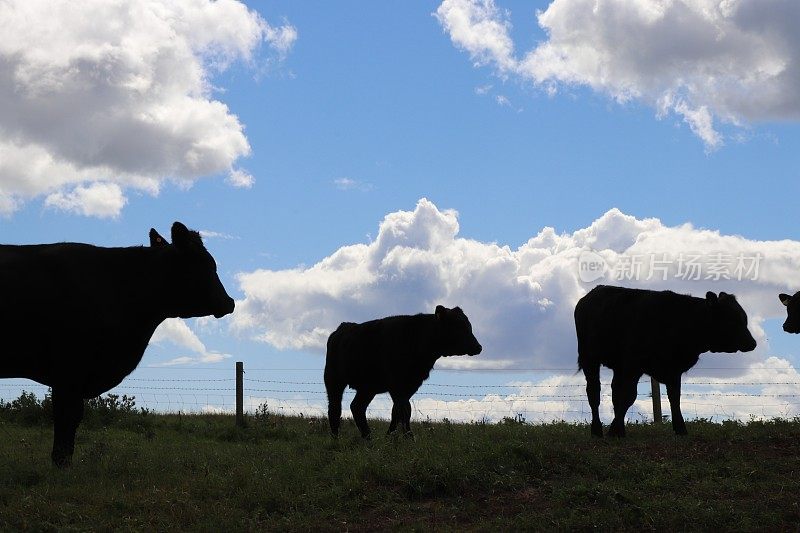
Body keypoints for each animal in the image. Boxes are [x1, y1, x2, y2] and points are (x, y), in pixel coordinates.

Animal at [324, 306, 482, 438]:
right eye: (458, 327)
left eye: (469, 326)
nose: (478, 347)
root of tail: (342, 328)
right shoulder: (397, 385)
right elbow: (403, 411)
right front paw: (406, 438)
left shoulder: (411, 385)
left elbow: (400, 411)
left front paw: (392, 436)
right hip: (333, 380)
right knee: (334, 408)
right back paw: (336, 439)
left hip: (367, 387)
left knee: (357, 407)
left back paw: (368, 437)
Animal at [576, 286, 756, 436]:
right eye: (732, 319)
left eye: (744, 318)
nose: (752, 343)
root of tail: (591, 294)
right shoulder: (634, 365)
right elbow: (628, 396)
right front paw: (614, 430)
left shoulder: (673, 369)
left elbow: (674, 398)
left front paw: (681, 429)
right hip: (589, 358)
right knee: (594, 392)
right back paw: (597, 430)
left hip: (618, 366)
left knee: (614, 392)